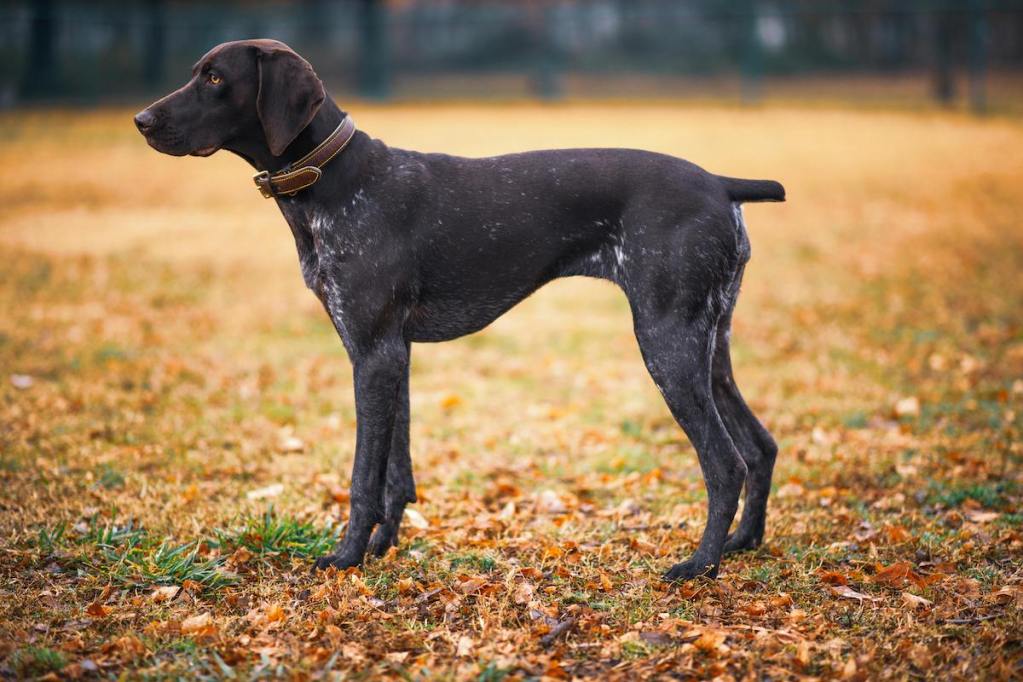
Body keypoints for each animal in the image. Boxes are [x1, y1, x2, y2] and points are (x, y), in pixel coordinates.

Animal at [131, 38, 777, 580]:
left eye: (215, 77)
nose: (142, 121)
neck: (334, 181)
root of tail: (721, 184)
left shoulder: (373, 354)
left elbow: (364, 476)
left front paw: (346, 557)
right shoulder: (391, 353)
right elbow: (396, 471)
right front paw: (381, 547)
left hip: (666, 343)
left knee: (725, 463)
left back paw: (700, 565)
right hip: (706, 346)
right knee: (760, 446)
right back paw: (743, 543)